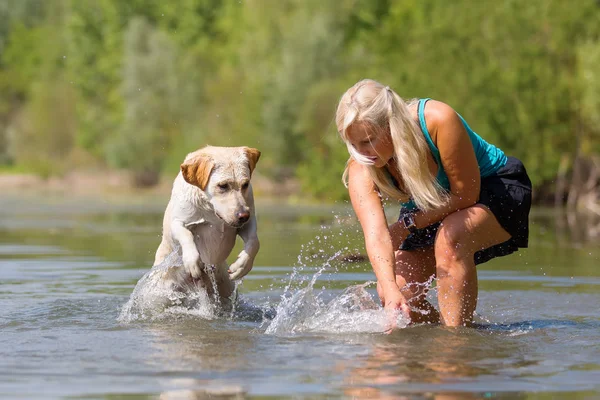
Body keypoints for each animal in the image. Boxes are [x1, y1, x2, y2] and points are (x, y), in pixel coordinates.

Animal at [152, 146, 260, 300]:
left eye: (245, 184)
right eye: (223, 186)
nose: (243, 216)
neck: (211, 208)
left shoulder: (248, 222)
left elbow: (254, 242)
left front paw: (242, 266)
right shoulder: (177, 223)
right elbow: (186, 234)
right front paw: (192, 261)